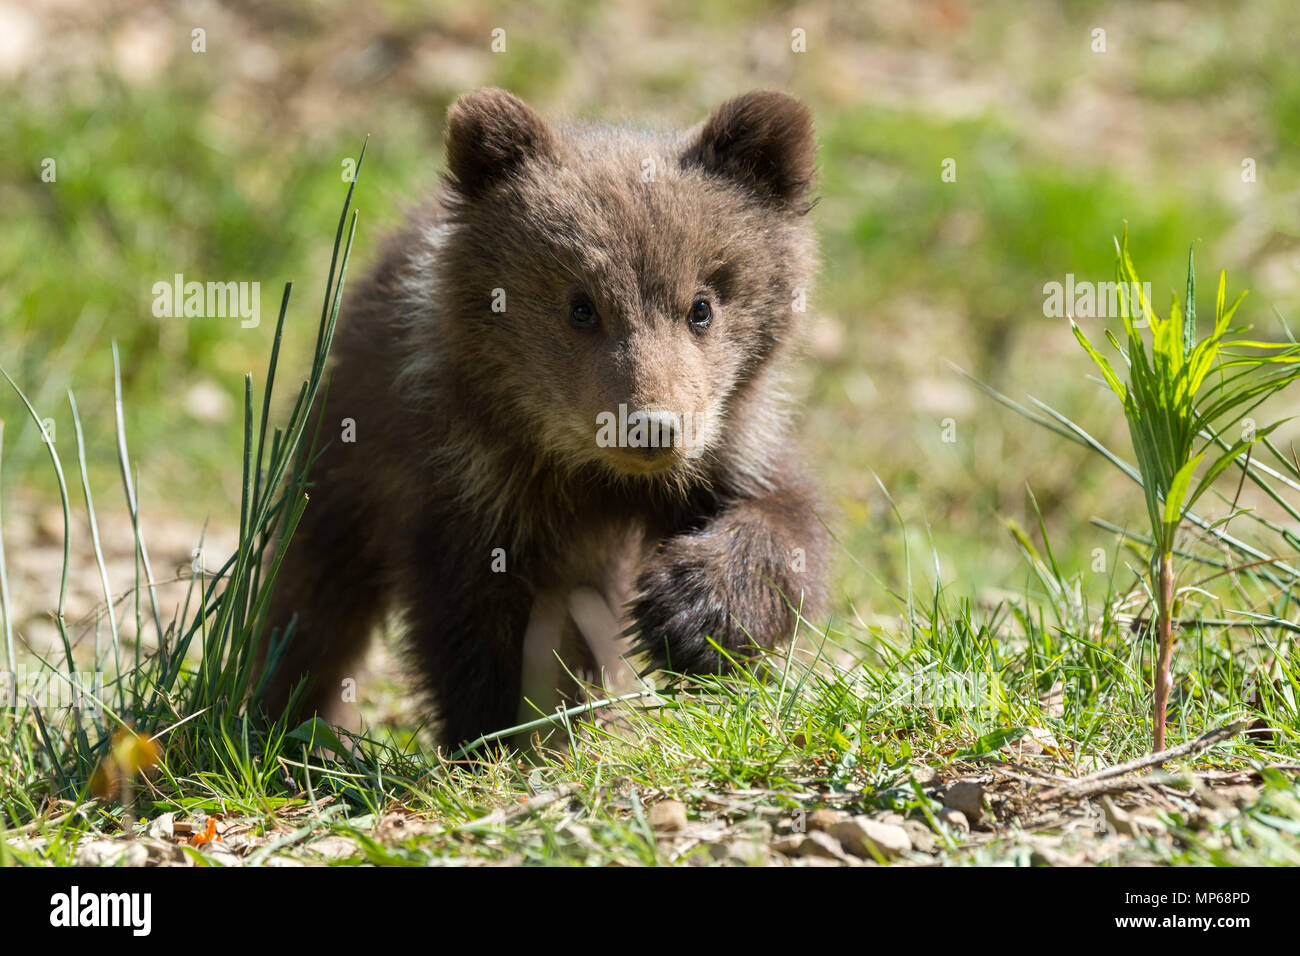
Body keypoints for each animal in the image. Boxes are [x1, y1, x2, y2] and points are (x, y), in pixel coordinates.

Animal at [260, 88, 830, 750]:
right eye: (582, 306)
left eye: (702, 306)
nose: (651, 427)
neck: (591, 474)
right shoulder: (472, 482)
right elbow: (473, 623)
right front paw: (502, 735)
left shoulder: (729, 442)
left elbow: (784, 523)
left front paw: (691, 616)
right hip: (344, 453)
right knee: (313, 595)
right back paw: (284, 717)